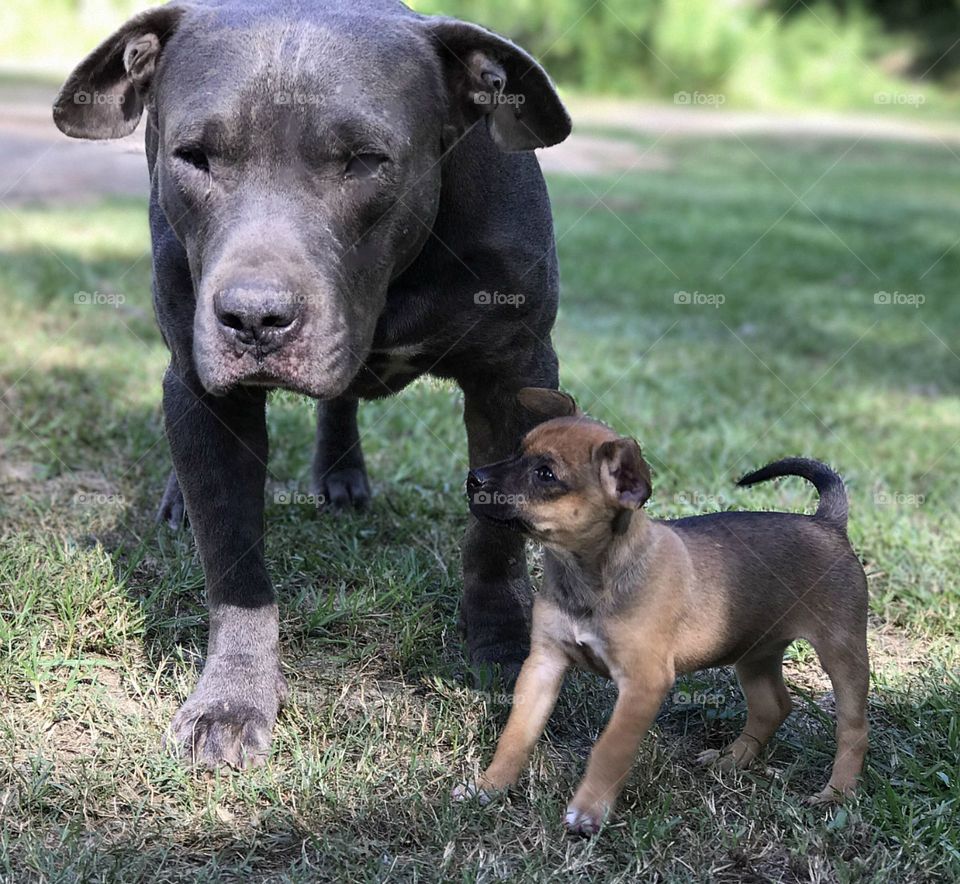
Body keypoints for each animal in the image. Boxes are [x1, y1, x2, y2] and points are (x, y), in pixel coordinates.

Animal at [52, 0, 568, 772]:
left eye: (365, 161)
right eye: (194, 156)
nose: (254, 316)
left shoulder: (515, 374)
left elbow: (495, 533)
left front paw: (504, 644)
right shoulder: (208, 395)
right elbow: (233, 556)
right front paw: (233, 698)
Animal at [456, 388, 872, 836]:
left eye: (545, 474)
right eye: (516, 452)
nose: (474, 477)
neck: (589, 575)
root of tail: (827, 523)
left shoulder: (643, 683)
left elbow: (611, 748)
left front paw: (589, 810)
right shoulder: (543, 665)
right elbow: (516, 735)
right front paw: (490, 786)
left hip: (842, 653)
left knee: (853, 728)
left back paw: (836, 794)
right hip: (754, 650)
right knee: (772, 706)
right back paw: (731, 760)